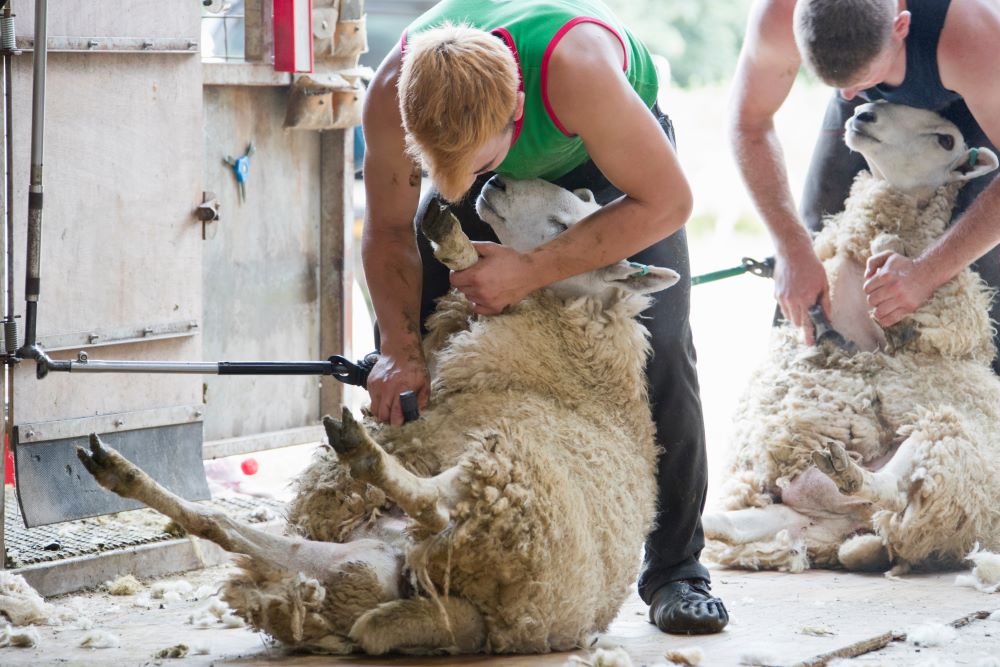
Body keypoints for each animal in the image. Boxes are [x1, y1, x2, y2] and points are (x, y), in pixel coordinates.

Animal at [82, 177, 684, 652]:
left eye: (564, 224)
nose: (498, 182)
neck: (582, 356)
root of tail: (477, 621)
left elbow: (480, 273)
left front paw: (453, 241)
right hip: (354, 558)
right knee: (222, 524)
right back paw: (116, 470)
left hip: (505, 483)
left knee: (434, 504)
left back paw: (361, 452)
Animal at [704, 102, 1000, 576]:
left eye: (946, 140)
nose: (863, 114)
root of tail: (860, 529)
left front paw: (885, 249)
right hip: (796, 517)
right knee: (742, 525)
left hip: (948, 445)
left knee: (896, 490)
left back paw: (852, 474)